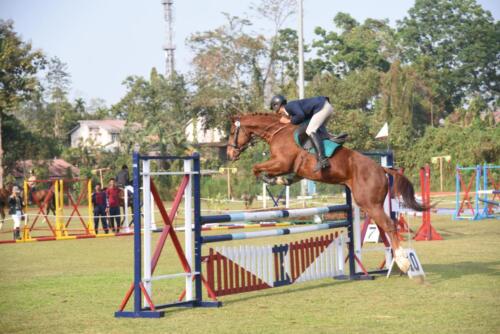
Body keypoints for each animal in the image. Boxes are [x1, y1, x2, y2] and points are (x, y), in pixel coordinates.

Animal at [227, 113, 426, 272]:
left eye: (231, 132)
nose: (229, 154)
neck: (277, 132)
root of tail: (382, 169)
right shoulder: (293, 169)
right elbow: (276, 173)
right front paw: (280, 180)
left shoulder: (281, 162)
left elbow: (256, 167)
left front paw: (270, 179)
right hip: (370, 205)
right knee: (387, 225)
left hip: (369, 204)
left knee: (390, 225)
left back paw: (403, 262)